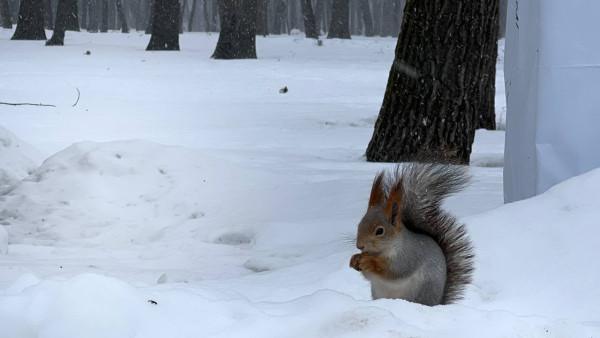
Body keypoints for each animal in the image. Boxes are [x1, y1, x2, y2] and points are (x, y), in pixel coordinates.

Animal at [352, 162, 474, 304]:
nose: (359, 246)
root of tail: (437, 303)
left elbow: (395, 270)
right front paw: (354, 259)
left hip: (421, 290)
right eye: (359, 224)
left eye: (379, 231)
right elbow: (368, 275)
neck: (380, 252)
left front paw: (369, 262)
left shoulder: (408, 255)